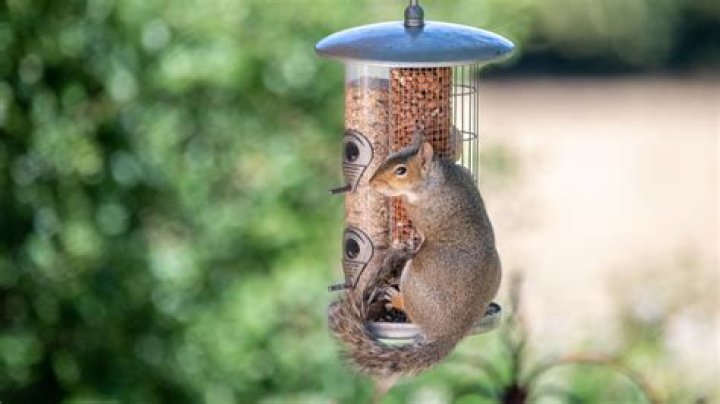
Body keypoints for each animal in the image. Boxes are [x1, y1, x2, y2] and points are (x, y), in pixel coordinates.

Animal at [328, 129, 502, 399]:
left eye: (401, 170)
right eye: (389, 157)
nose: (372, 184)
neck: (435, 178)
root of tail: (453, 330)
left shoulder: (421, 208)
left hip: (413, 277)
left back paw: (397, 298)